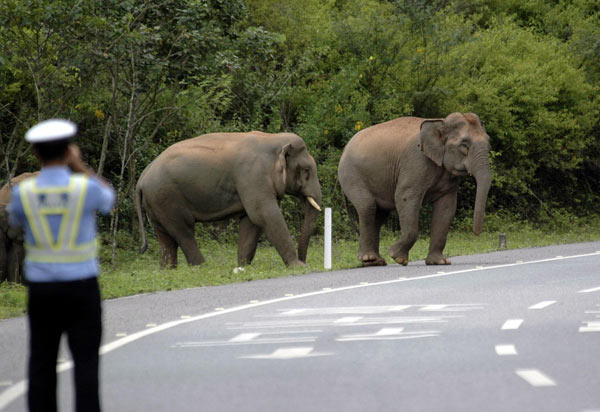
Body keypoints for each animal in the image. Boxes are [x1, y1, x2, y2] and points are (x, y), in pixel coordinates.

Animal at [136, 130, 324, 268]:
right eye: (306, 170)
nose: (304, 260)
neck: (272, 138)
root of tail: (141, 179)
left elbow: (251, 221)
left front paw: (243, 266)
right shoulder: (252, 176)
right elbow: (264, 215)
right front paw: (298, 267)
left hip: (156, 203)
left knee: (165, 237)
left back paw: (168, 270)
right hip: (167, 199)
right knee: (184, 231)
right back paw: (202, 267)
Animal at [340, 112, 490, 268]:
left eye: (489, 144)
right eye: (464, 145)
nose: (476, 233)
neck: (441, 121)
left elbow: (447, 208)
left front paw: (440, 262)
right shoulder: (415, 161)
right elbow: (404, 197)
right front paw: (398, 258)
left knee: (379, 214)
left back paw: (376, 261)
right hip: (351, 175)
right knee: (367, 207)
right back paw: (369, 258)